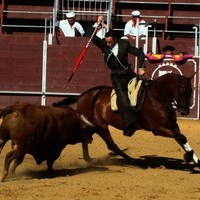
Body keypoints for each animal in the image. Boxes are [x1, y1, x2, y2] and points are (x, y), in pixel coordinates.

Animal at [53, 72, 200, 168]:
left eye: (191, 90)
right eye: (183, 90)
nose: (185, 111)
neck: (157, 98)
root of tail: (82, 96)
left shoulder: (173, 126)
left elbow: (182, 138)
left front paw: (195, 159)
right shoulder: (158, 129)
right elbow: (181, 137)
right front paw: (189, 157)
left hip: (93, 126)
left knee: (85, 136)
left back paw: (88, 159)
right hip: (101, 127)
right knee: (111, 145)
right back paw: (134, 162)